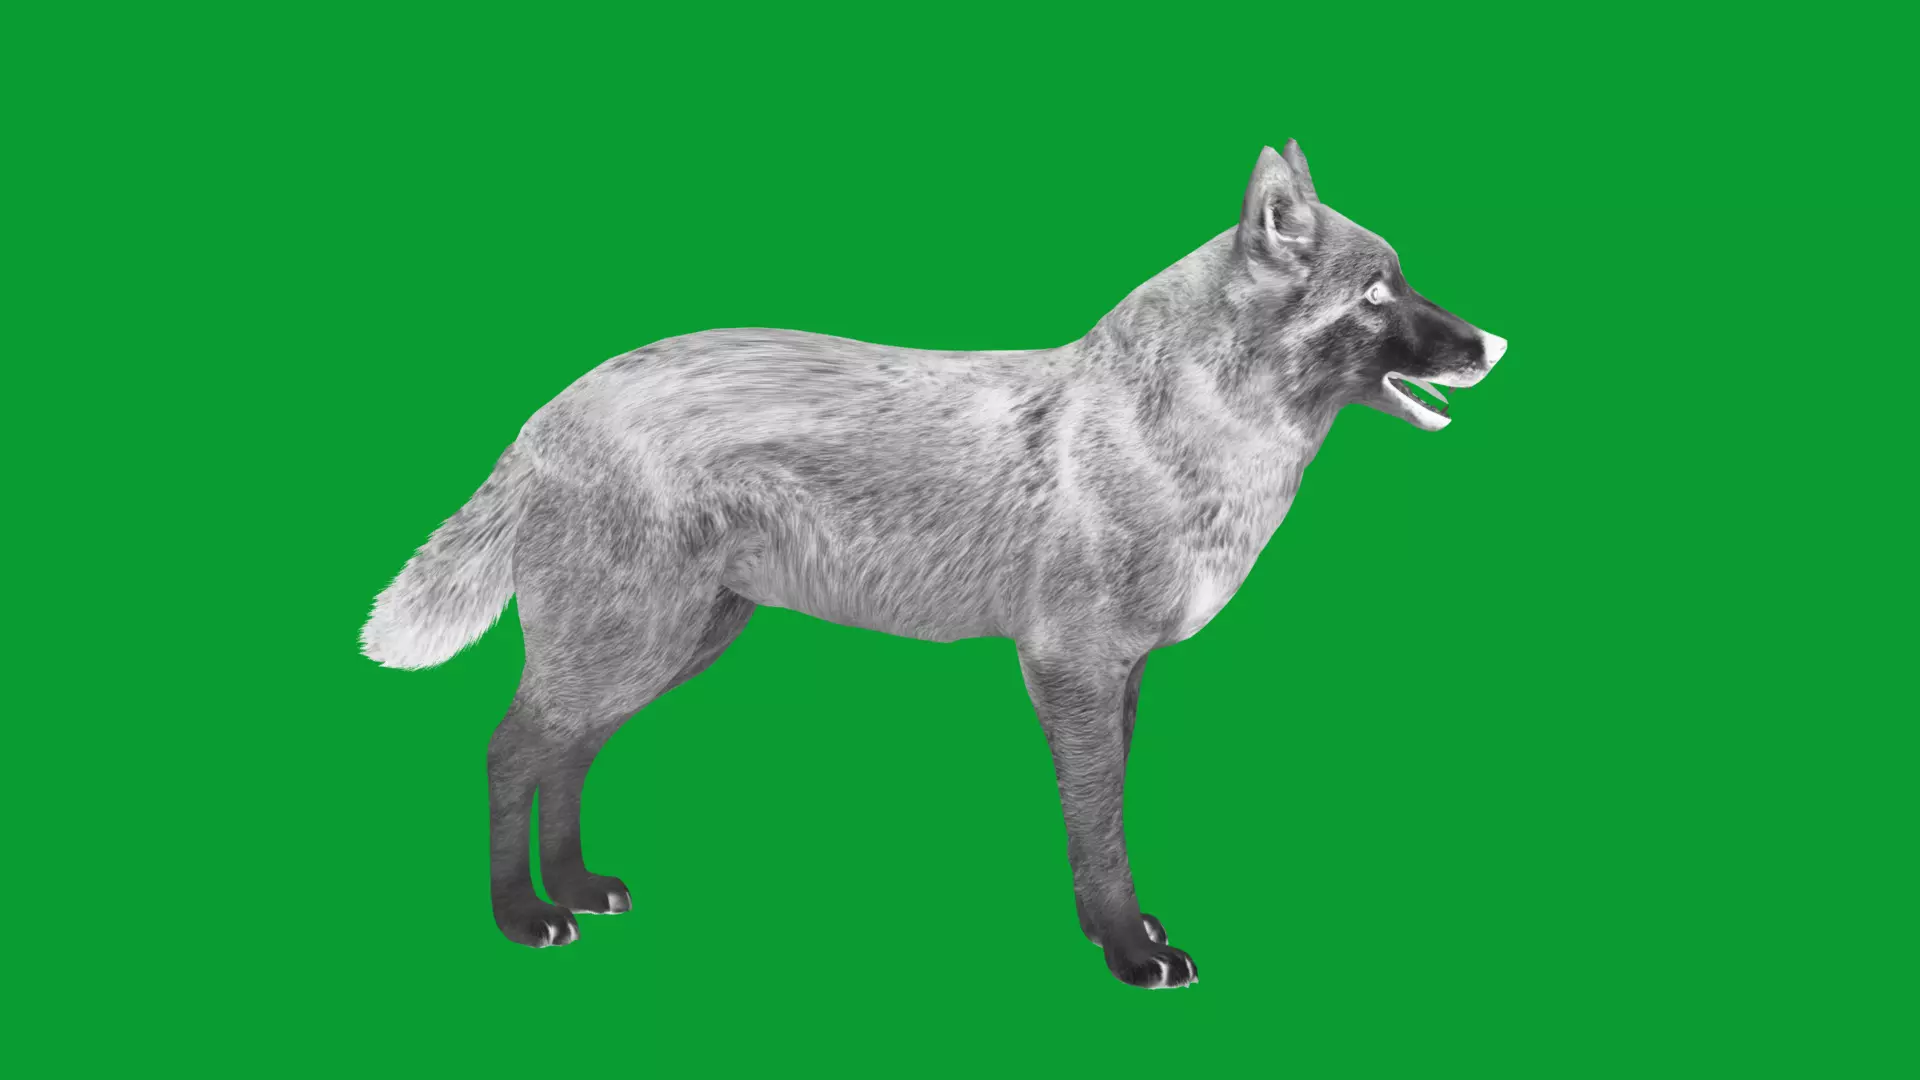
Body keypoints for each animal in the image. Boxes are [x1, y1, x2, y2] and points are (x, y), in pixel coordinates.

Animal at [361, 141, 1507, 989]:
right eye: (1376, 295)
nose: (1492, 346)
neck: (1176, 436)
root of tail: (552, 407)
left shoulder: (1123, 675)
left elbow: (1107, 821)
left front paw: (1122, 933)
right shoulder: (1068, 669)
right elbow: (1099, 829)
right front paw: (1128, 952)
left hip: (663, 650)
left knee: (567, 756)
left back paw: (575, 887)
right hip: (626, 646)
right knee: (511, 753)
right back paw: (522, 915)